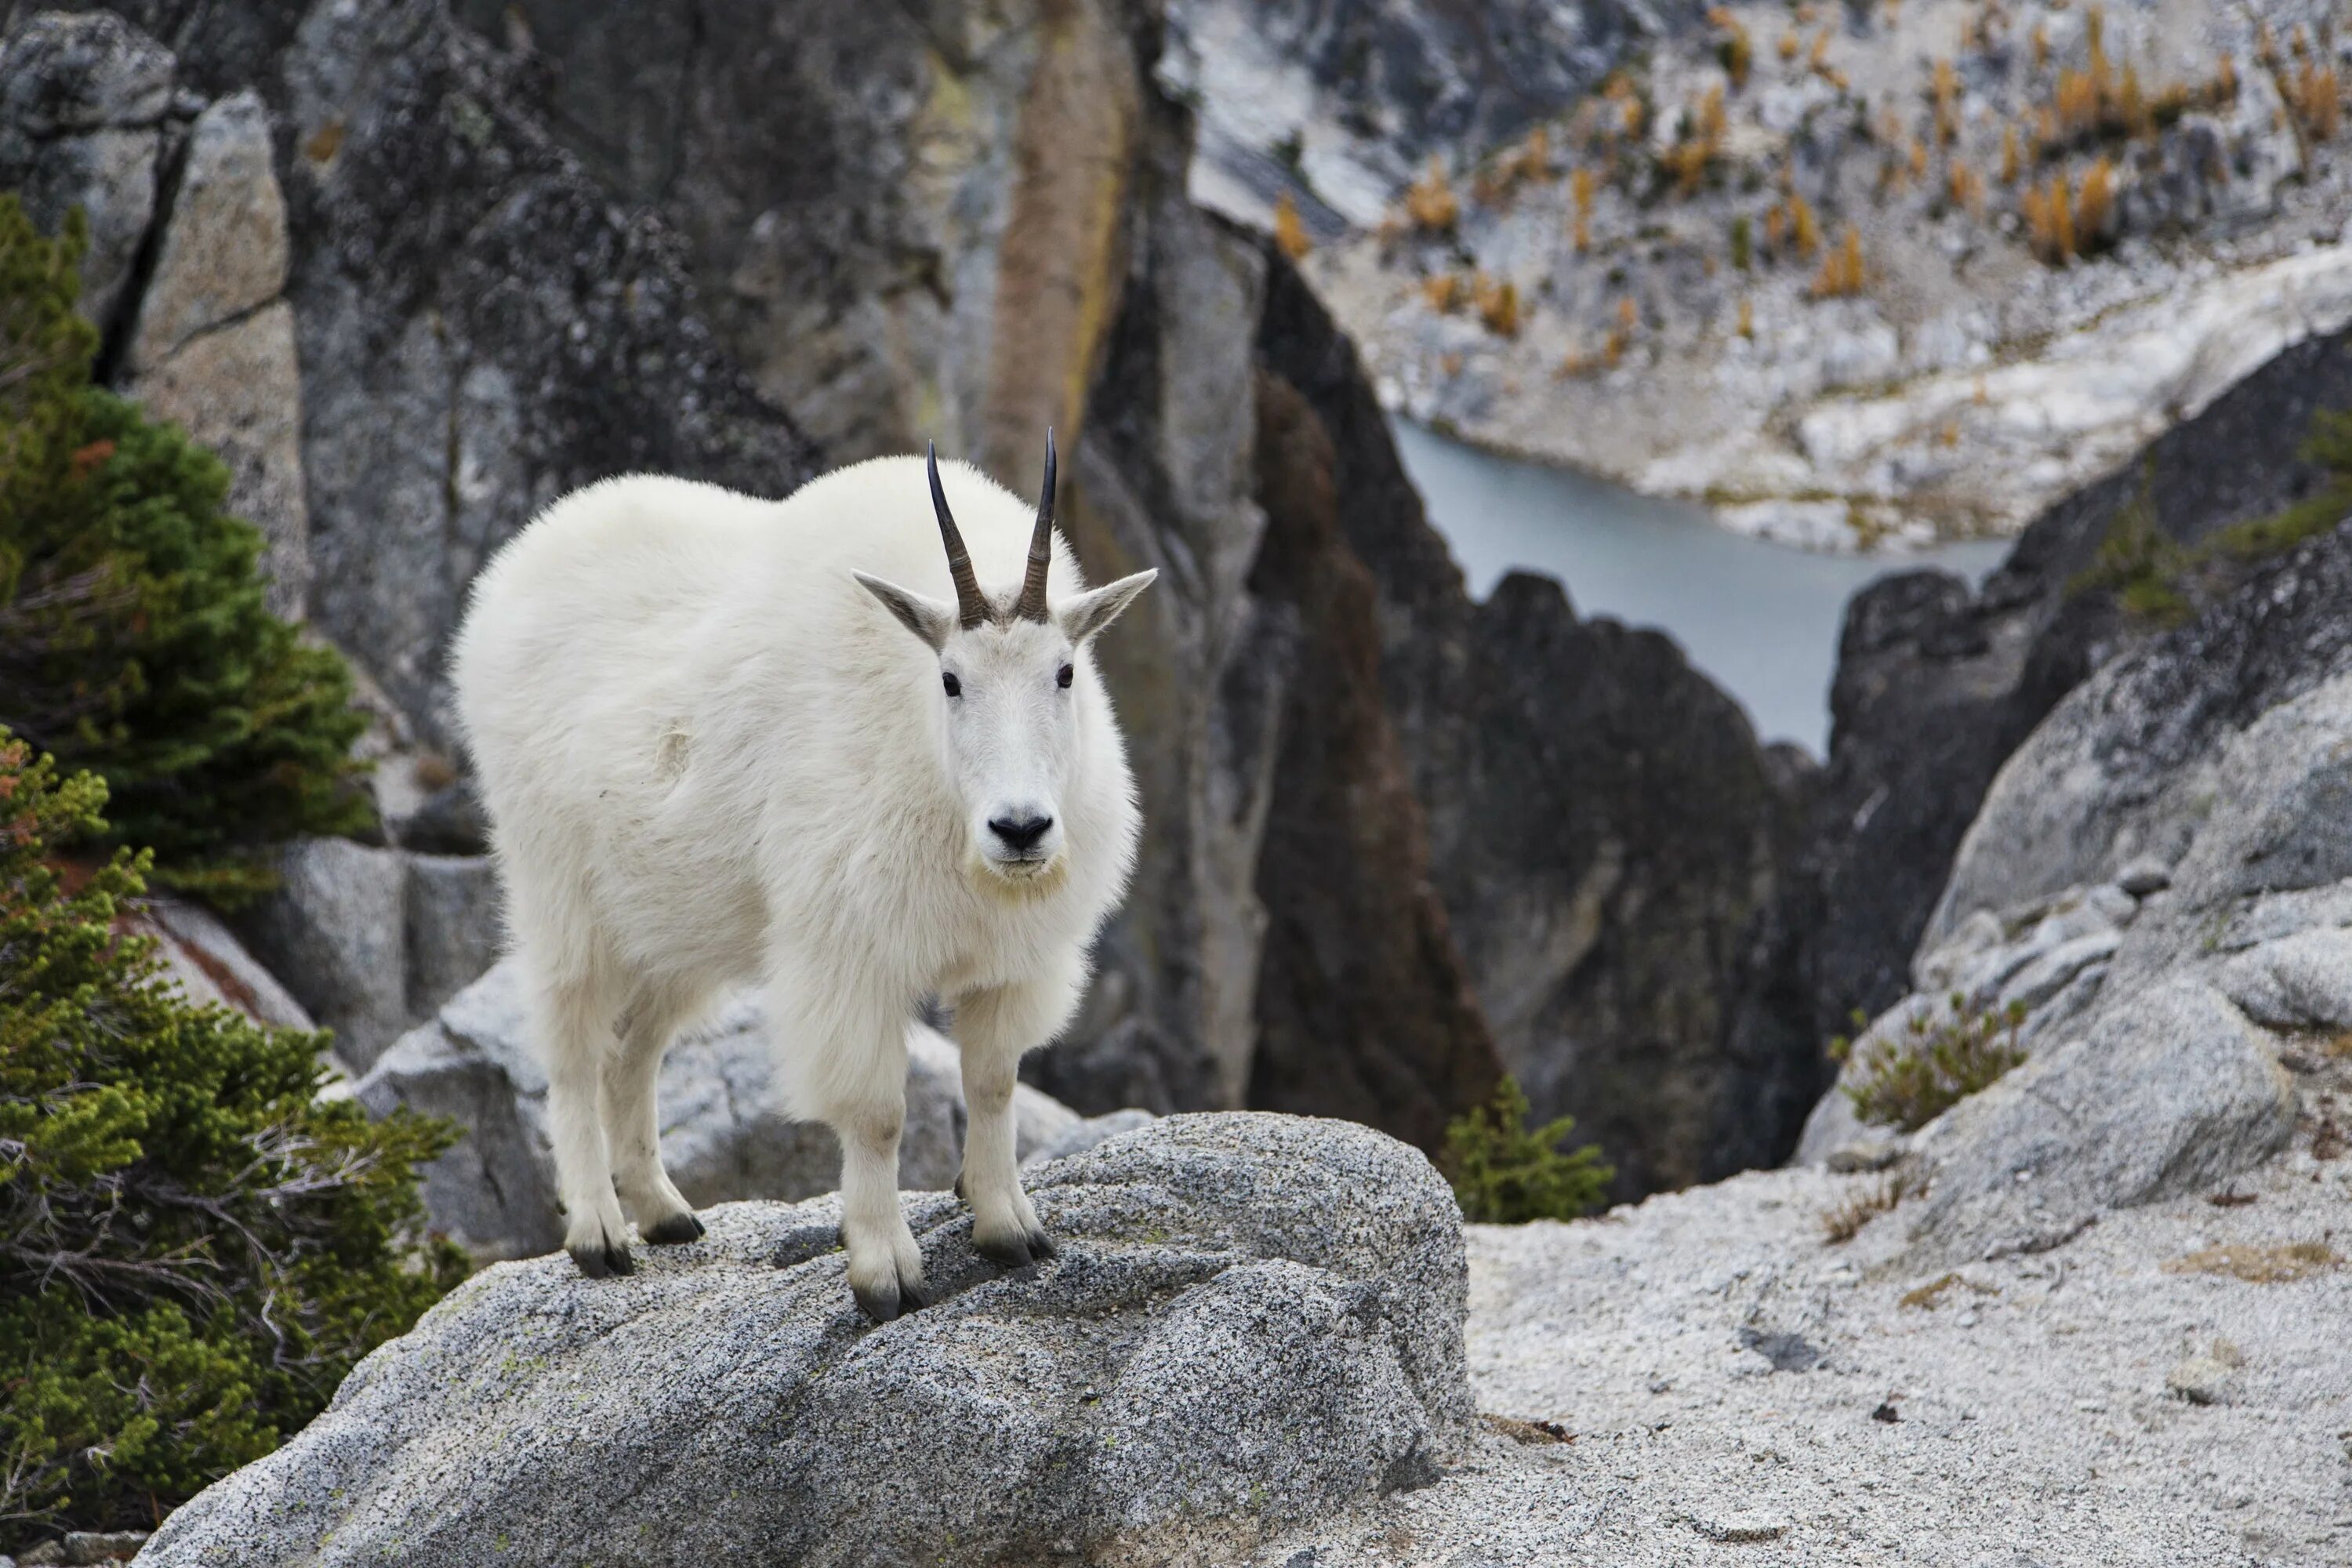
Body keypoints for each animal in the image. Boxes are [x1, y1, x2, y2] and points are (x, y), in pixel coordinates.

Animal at [447, 434, 1148, 1316]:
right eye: (951, 680)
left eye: (1064, 672)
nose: (1020, 830)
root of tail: (508, 574)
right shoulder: (850, 956)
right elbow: (877, 1113)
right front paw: (885, 1271)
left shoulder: (1010, 963)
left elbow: (992, 1084)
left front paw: (1009, 1227)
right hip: (559, 891)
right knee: (571, 1049)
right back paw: (599, 1234)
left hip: (673, 922)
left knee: (632, 1054)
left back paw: (665, 1211)